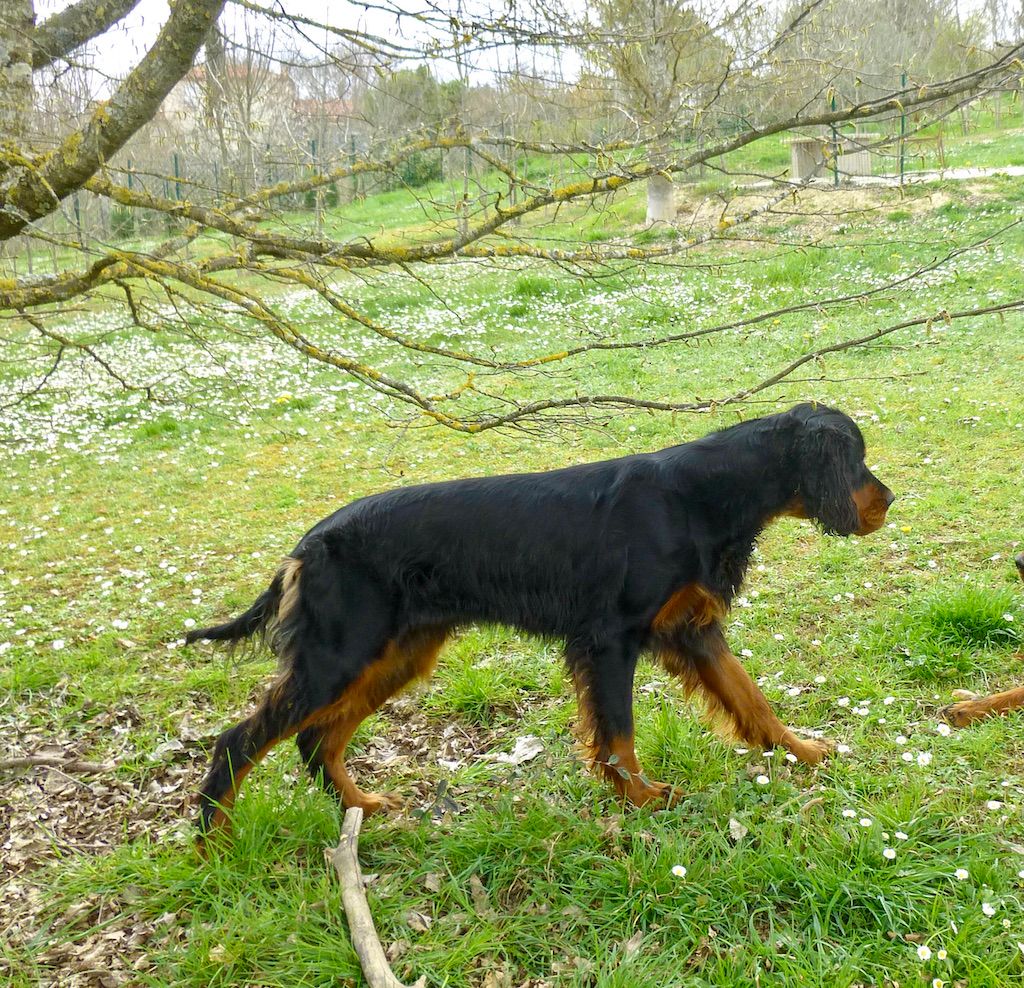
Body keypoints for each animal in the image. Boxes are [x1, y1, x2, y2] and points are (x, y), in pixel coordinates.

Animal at [188, 397, 892, 835]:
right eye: (857, 458)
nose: (888, 500)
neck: (700, 495)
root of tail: (307, 545)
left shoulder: (691, 631)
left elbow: (754, 702)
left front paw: (804, 752)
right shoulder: (610, 639)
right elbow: (618, 734)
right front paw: (642, 799)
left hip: (396, 653)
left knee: (314, 740)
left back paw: (362, 806)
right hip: (339, 654)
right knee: (238, 742)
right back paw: (215, 843)